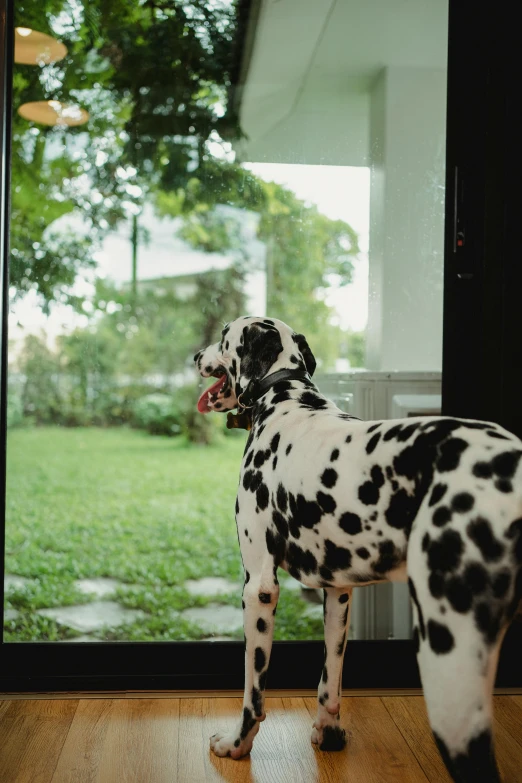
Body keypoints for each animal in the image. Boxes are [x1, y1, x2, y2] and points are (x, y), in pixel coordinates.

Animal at [193, 316, 516, 780]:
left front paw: (237, 745)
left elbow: (253, 695)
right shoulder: (338, 592)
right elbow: (330, 679)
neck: (285, 397)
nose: (195, 356)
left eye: (223, 336)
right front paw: (328, 733)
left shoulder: (259, 589)